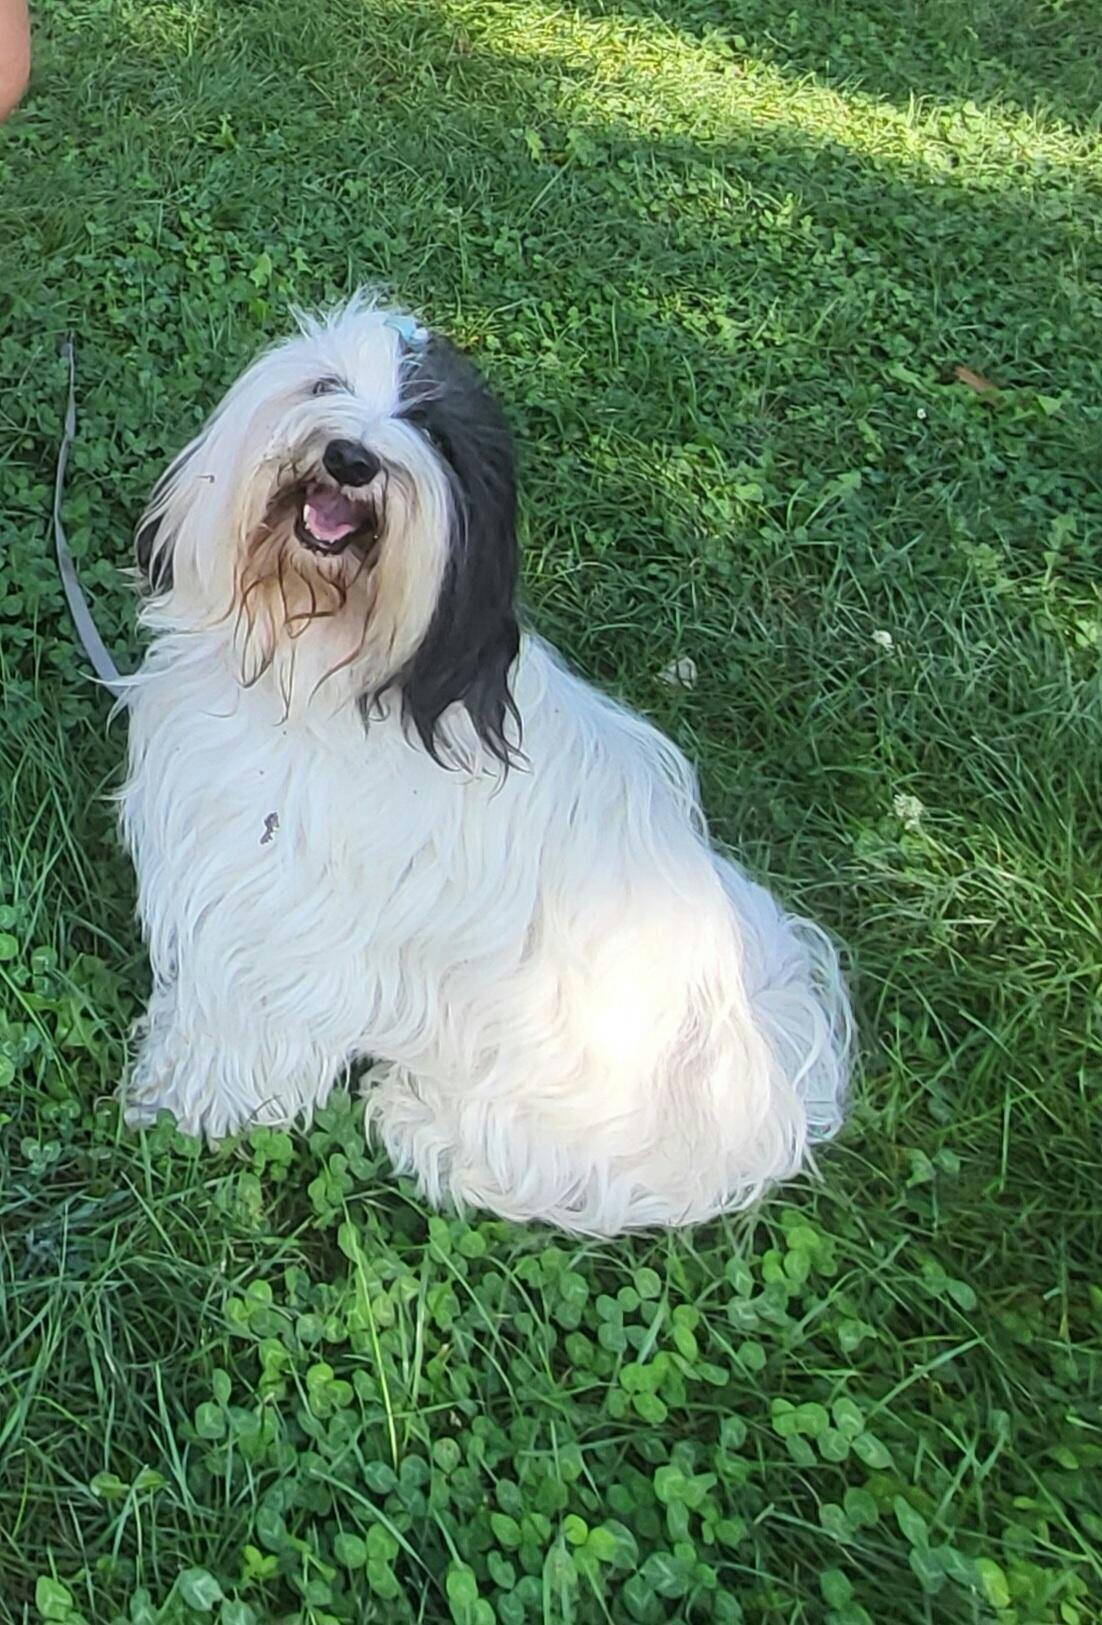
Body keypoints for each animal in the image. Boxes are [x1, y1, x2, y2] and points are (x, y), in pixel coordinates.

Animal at [120, 297, 852, 1234]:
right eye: (325, 385)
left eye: (428, 428)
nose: (351, 457)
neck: (308, 660)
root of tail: (767, 1071)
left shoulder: (286, 923)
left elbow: (246, 1024)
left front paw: (192, 1107)